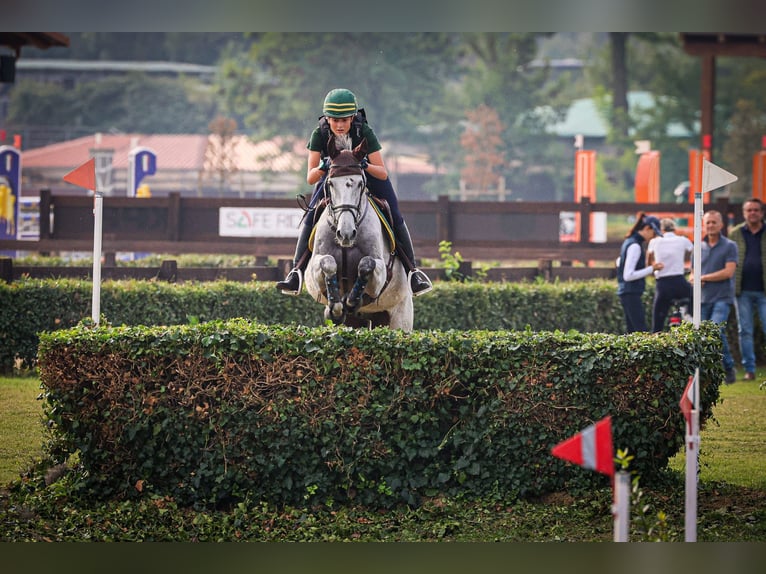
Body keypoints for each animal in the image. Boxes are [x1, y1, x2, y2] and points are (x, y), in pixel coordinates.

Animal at [303, 138, 413, 331]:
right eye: (330, 183)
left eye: (360, 183)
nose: (345, 234)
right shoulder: (314, 270)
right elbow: (328, 262)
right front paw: (336, 306)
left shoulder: (381, 274)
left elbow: (367, 263)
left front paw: (352, 300)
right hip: (358, 322)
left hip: (400, 318)